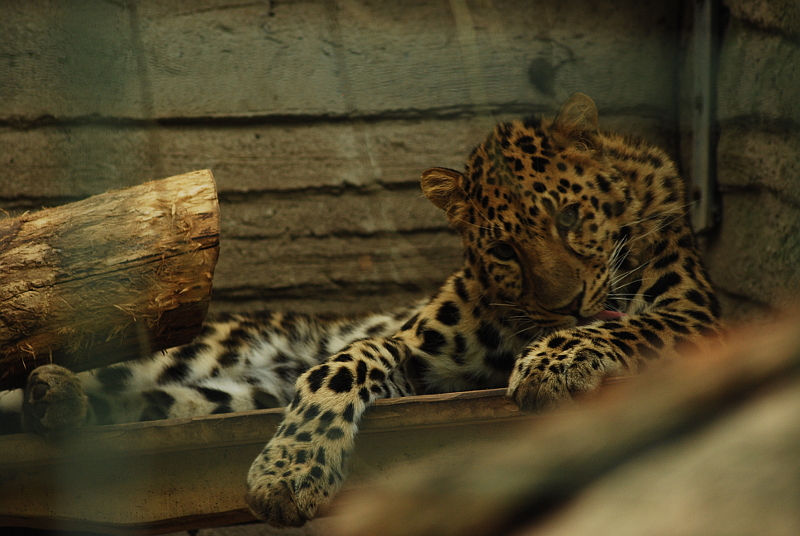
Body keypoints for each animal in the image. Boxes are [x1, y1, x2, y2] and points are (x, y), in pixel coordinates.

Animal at [0, 93, 721, 527]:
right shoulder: (412, 351)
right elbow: (338, 366)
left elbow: (633, 326)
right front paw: (288, 475)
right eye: (505, 250)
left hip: (218, 394)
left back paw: (54, 398)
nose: (566, 306)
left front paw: (554, 363)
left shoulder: (697, 319)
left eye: (569, 218)